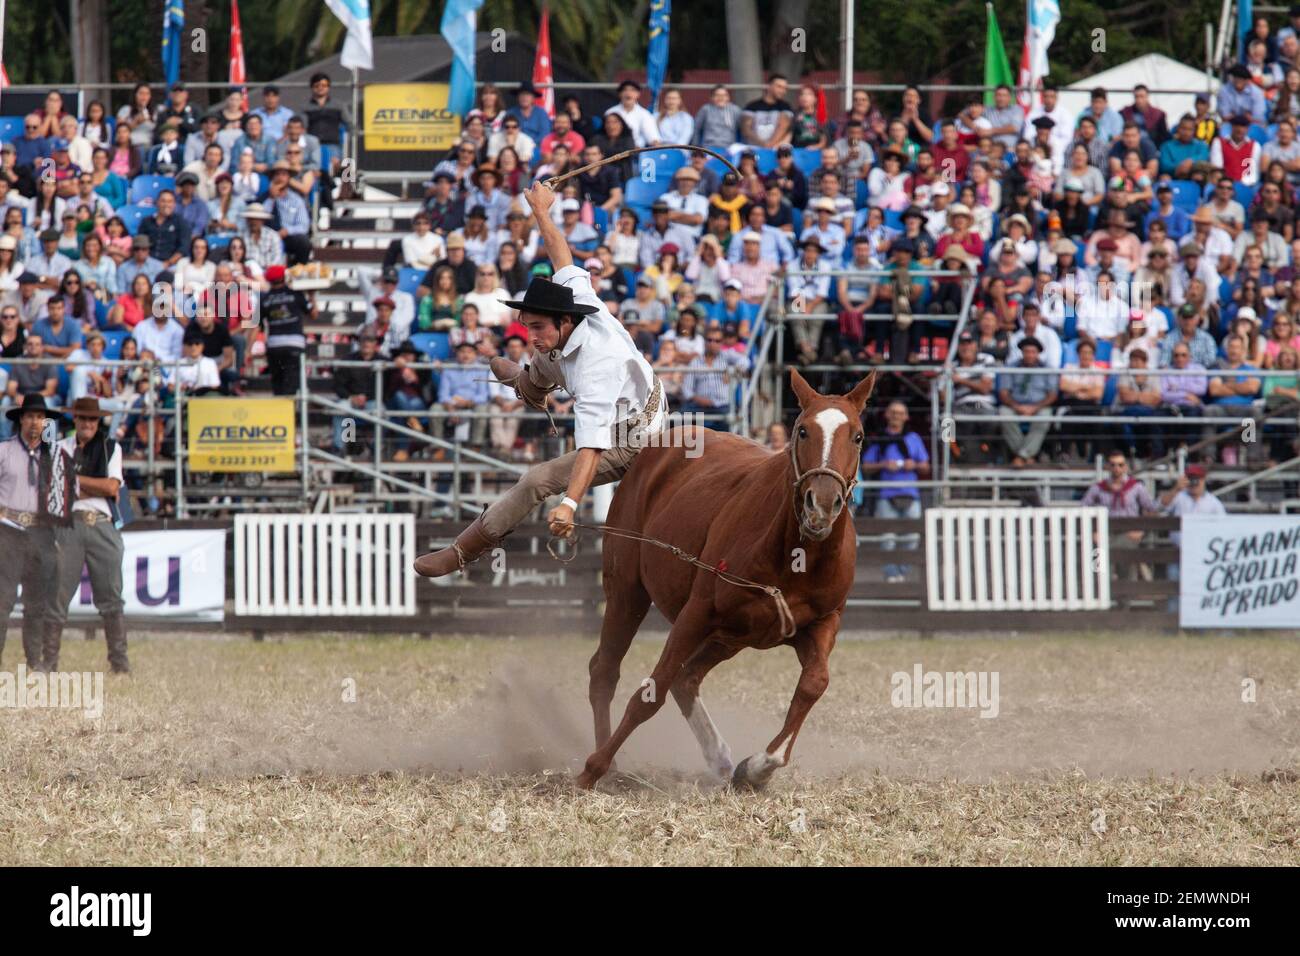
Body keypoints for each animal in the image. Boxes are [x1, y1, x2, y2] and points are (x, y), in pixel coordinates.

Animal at [576, 368, 876, 790]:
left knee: (687, 679)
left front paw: (758, 767)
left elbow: (814, 683)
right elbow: (651, 693)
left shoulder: (822, 622)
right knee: (606, 670)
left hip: (731, 635)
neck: (795, 554)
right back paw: (610, 765)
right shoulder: (696, 614)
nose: (821, 503)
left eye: (858, 435)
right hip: (626, 592)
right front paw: (592, 768)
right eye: (803, 430)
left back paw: (718, 756)